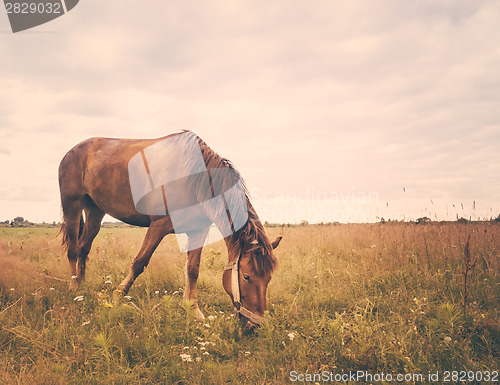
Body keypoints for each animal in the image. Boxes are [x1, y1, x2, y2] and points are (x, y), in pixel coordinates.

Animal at [58, 130, 282, 328]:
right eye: (246, 276)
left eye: (269, 278)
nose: (255, 326)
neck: (192, 177)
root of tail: (71, 152)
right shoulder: (159, 225)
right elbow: (139, 262)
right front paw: (118, 295)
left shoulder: (198, 231)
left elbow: (193, 270)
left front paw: (193, 310)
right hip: (73, 206)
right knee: (74, 250)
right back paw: (73, 286)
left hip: (95, 210)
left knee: (84, 248)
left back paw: (82, 285)